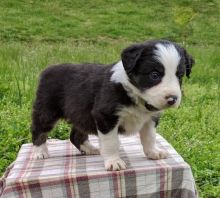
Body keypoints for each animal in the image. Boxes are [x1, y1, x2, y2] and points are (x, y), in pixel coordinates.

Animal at [31, 39, 194, 170]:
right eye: (154, 75)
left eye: (179, 76)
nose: (172, 99)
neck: (135, 95)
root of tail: (48, 69)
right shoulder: (105, 116)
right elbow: (111, 142)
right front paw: (114, 162)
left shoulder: (150, 118)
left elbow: (149, 136)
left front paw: (153, 152)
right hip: (46, 110)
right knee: (39, 130)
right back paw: (40, 152)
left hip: (81, 114)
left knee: (76, 135)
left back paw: (90, 149)